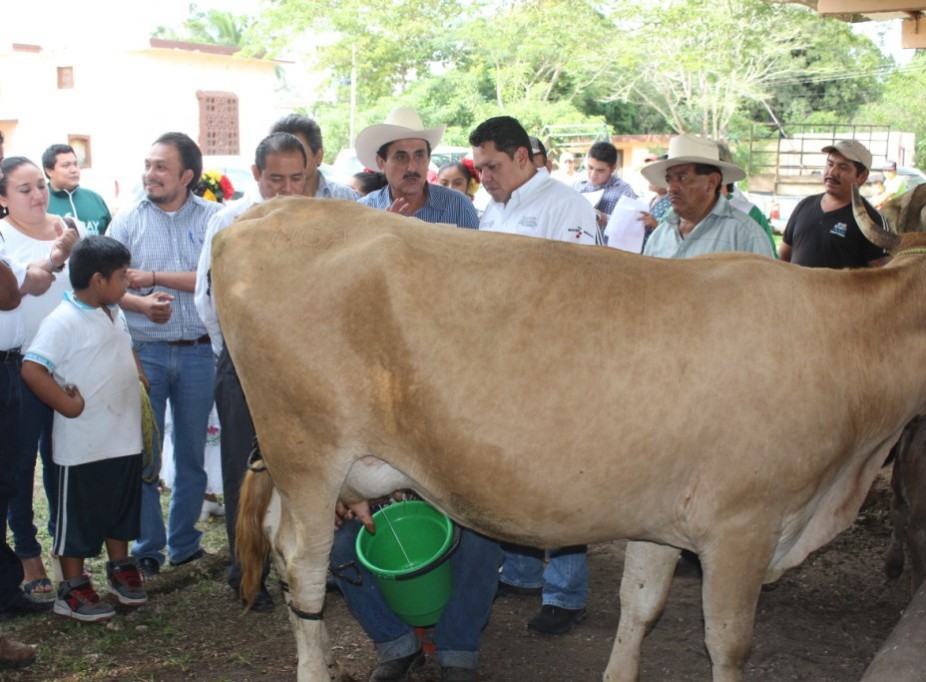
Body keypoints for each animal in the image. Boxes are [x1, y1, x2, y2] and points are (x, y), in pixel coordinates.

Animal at [214, 193, 926, 680]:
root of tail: (272, 209)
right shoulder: (743, 525)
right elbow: (728, 642)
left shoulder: (661, 517)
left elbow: (641, 606)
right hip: (306, 454)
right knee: (302, 571)